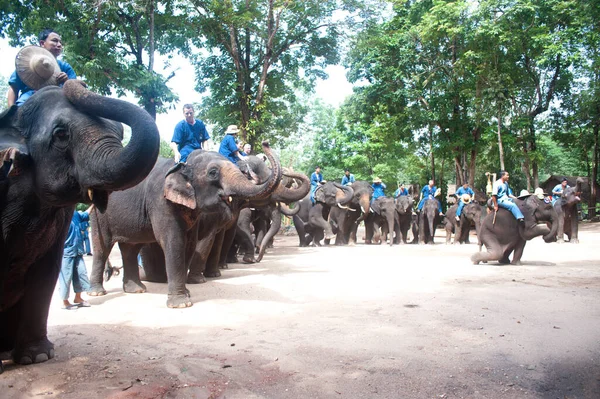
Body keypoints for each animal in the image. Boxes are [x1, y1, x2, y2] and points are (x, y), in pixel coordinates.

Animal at [88, 144, 282, 310]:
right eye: (213, 172)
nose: (265, 144)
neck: (183, 166)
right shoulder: (160, 202)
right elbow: (174, 242)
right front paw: (181, 304)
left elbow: (189, 244)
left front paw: (187, 294)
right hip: (98, 215)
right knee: (102, 248)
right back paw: (97, 293)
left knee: (130, 248)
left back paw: (136, 289)